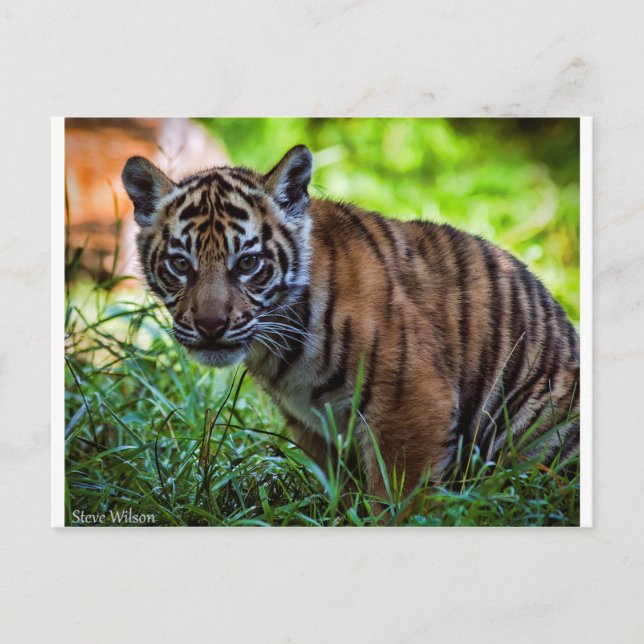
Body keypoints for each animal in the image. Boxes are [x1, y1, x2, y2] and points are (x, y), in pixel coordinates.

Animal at [122, 144, 580, 499]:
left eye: (248, 263)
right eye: (181, 264)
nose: (211, 326)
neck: (281, 349)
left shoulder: (412, 403)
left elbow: (397, 498)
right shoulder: (315, 426)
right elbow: (343, 493)